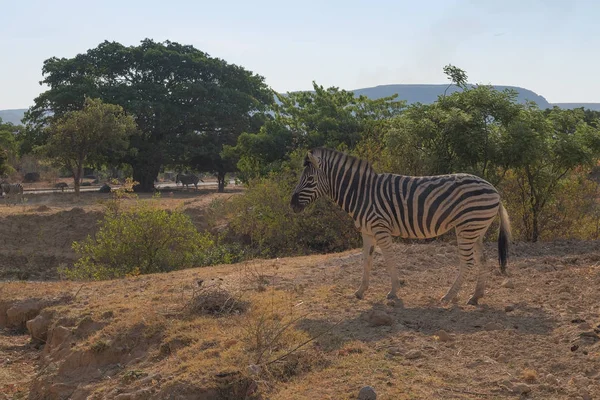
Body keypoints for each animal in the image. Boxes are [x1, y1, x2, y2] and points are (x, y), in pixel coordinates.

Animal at [290, 148, 510, 304]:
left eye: (310, 179)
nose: (292, 204)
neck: (361, 193)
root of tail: (494, 190)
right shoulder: (367, 232)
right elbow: (366, 260)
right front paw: (360, 291)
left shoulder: (380, 228)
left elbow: (388, 258)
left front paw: (394, 291)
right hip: (476, 229)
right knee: (482, 259)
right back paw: (475, 296)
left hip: (467, 227)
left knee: (468, 262)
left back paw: (448, 296)